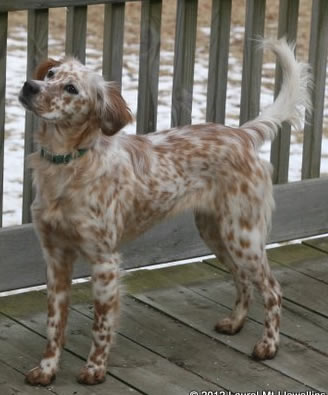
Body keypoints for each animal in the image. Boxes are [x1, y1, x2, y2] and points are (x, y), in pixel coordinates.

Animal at [18, 38, 310, 386]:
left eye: (71, 88)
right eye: (50, 74)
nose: (29, 86)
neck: (66, 166)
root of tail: (242, 134)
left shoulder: (105, 261)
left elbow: (101, 324)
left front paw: (95, 369)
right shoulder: (55, 259)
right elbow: (54, 325)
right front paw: (47, 370)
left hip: (243, 236)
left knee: (273, 290)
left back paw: (268, 345)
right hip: (216, 232)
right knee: (243, 280)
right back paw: (235, 322)